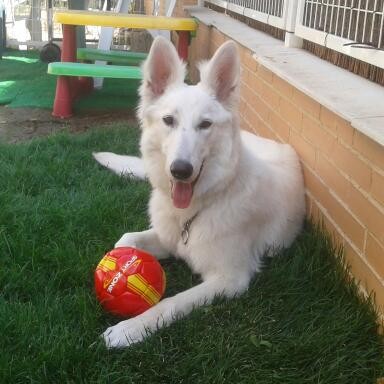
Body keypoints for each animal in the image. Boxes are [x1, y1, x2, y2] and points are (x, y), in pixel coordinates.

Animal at [94, 36, 306, 348]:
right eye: (168, 120)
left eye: (205, 124)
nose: (180, 170)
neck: (194, 212)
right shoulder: (167, 240)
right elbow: (125, 240)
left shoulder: (230, 279)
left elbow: (171, 302)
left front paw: (130, 329)